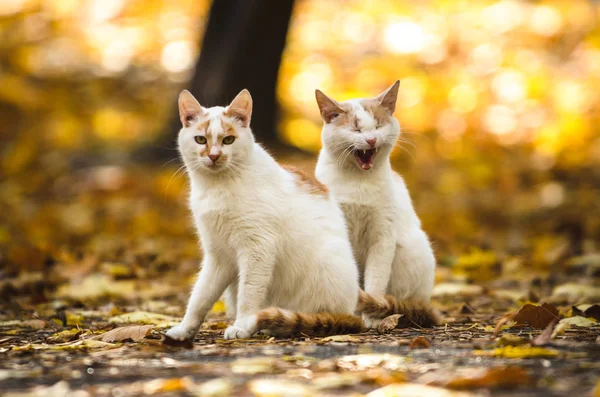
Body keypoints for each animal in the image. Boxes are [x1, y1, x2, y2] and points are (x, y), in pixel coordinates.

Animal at [162, 89, 364, 340]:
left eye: (228, 140)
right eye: (200, 139)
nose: (214, 156)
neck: (218, 186)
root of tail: (351, 312)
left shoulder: (258, 247)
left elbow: (249, 292)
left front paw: (242, 325)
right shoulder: (218, 256)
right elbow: (201, 296)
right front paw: (185, 329)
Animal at [314, 81, 440, 328]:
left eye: (378, 126)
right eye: (356, 129)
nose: (371, 140)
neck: (358, 181)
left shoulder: (382, 236)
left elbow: (375, 281)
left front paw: (372, 315)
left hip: (413, 252)